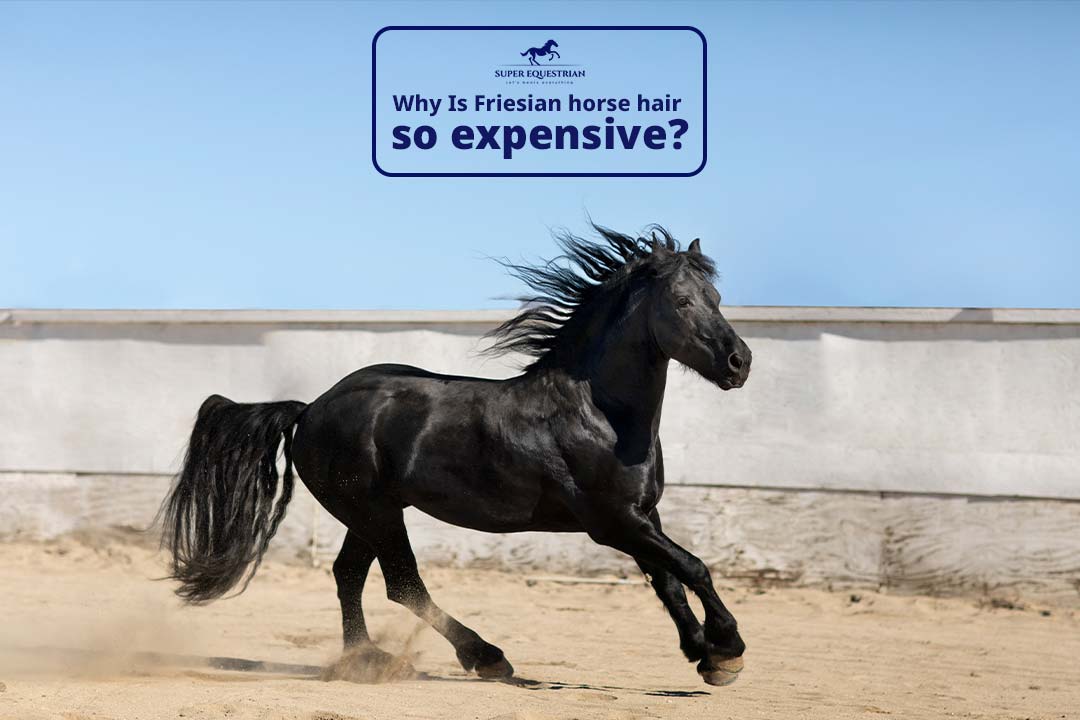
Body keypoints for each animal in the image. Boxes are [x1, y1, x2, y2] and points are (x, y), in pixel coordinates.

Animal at [159, 225, 752, 686]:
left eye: (718, 299)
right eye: (682, 302)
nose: (739, 362)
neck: (600, 414)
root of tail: (310, 409)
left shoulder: (642, 516)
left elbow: (668, 580)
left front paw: (703, 655)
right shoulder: (612, 523)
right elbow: (692, 567)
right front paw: (727, 649)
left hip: (369, 513)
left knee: (349, 575)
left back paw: (364, 660)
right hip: (374, 512)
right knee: (402, 584)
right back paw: (484, 657)